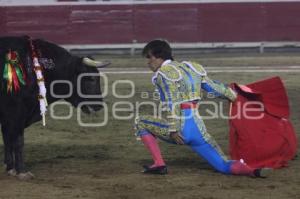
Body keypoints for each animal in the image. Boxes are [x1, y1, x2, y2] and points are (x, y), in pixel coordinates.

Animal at [0, 36, 110, 179]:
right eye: (90, 78)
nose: (98, 106)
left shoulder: (9, 117)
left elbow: (8, 139)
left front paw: (10, 167)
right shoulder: (17, 112)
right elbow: (18, 141)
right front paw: (22, 171)